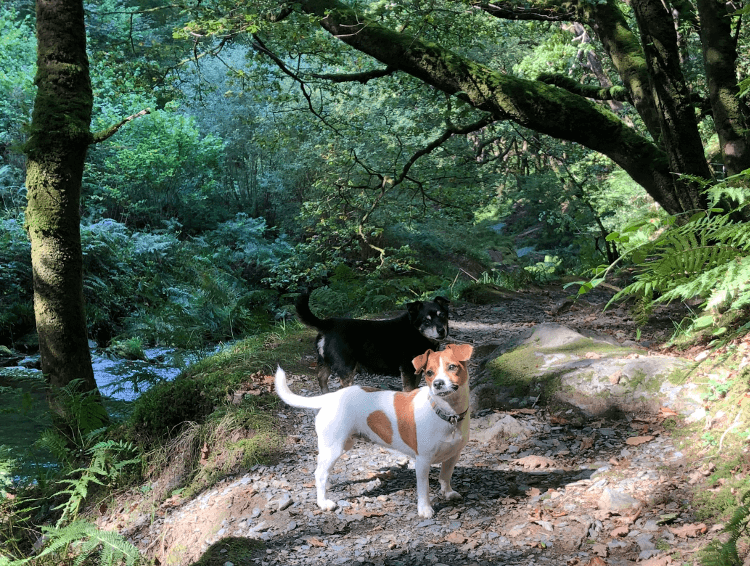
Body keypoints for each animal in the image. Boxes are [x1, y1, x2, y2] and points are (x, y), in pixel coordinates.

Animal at [276, 344, 476, 520]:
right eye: (429, 373)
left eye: (452, 367)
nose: (438, 383)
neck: (446, 413)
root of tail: (331, 396)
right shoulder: (423, 462)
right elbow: (424, 489)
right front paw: (425, 509)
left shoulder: (453, 455)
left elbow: (445, 476)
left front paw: (447, 493)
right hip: (333, 448)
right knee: (319, 474)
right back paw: (323, 503)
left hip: (344, 444)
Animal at [296, 296, 450, 392]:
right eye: (426, 320)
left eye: (443, 315)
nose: (442, 331)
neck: (415, 331)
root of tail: (328, 323)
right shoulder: (408, 370)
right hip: (346, 368)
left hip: (325, 363)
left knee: (322, 381)